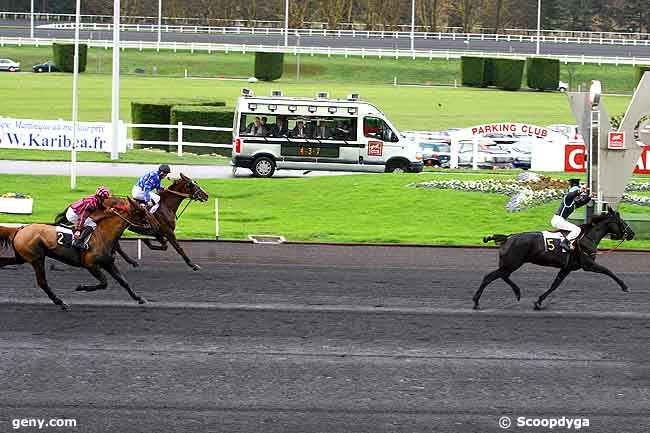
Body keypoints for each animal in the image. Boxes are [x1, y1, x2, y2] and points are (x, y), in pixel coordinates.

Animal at [0, 197, 157, 308]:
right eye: (140, 211)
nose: (155, 225)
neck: (102, 235)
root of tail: (19, 229)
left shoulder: (108, 263)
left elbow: (123, 281)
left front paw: (139, 298)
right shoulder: (90, 264)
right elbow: (104, 283)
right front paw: (81, 287)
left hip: (22, 257)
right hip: (36, 258)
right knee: (42, 282)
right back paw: (61, 302)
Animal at [470, 207, 632, 310]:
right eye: (622, 222)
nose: (632, 234)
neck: (586, 237)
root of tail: (508, 238)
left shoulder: (567, 268)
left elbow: (555, 285)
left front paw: (538, 302)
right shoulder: (588, 264)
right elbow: (608, 271)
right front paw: (624, 286)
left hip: (510, 264)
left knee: (503, 275)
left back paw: (517, 292)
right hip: (512, 263)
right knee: (490, 277)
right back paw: (477, 302)